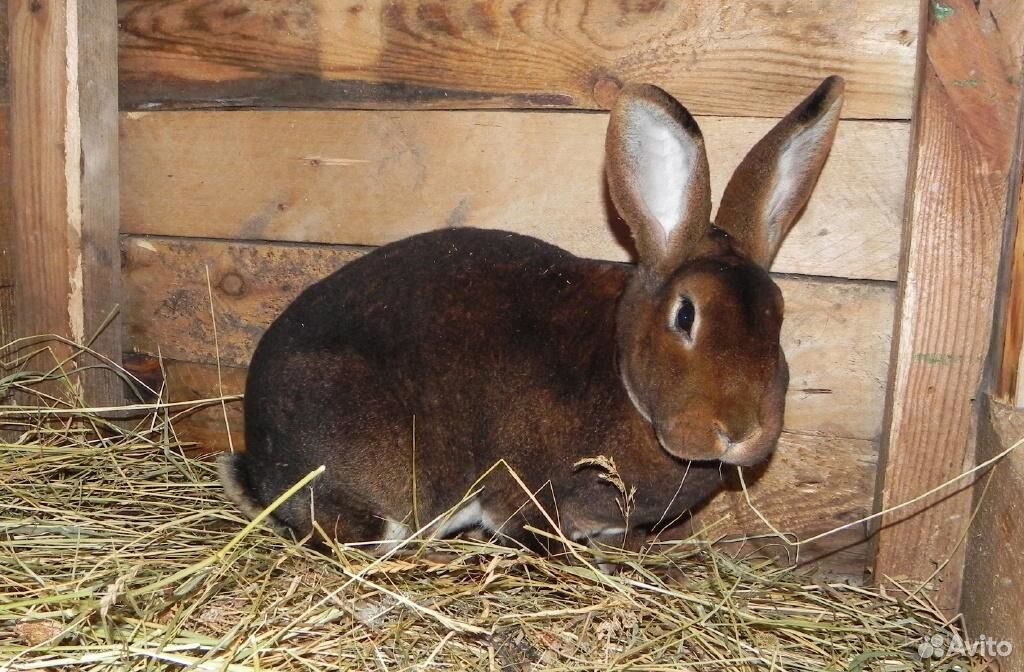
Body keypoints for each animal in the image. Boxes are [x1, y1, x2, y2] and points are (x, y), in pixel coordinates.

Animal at [220, 74, 843, 557]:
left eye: (778, 316)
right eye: (685, 315)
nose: (740, 432)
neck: (621, 372)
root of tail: (261, 465)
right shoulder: (529, 489)